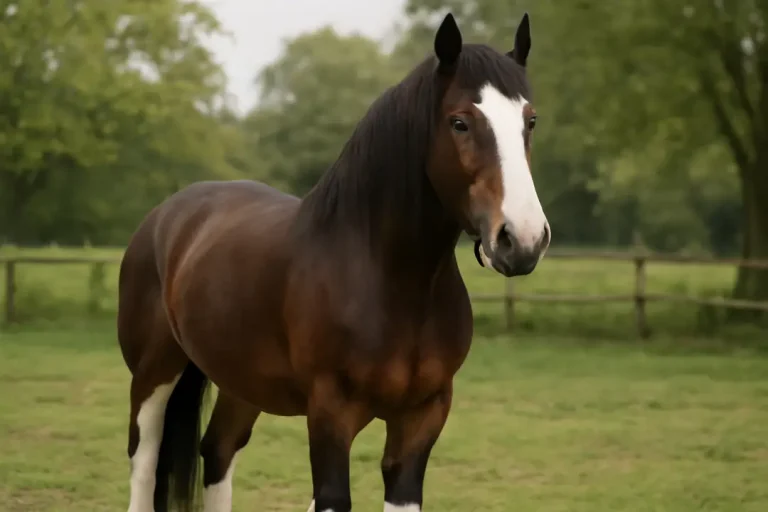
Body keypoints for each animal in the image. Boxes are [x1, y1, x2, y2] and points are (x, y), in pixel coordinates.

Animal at [117, 12, 549, 512]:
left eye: (530, 121)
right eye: (460, 122)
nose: (523, 239)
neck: (390, 281)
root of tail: (164, 215)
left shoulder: (422, 417)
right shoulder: (329, 412)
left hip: (241, 381)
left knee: (218, 449)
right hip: (153, 374)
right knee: (145, 459)